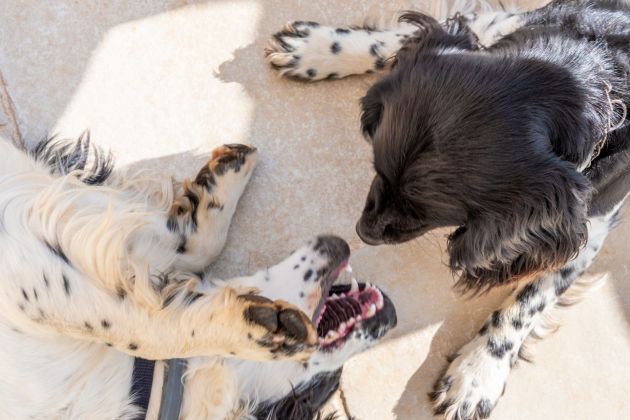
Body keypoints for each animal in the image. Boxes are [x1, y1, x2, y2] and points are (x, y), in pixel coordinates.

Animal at [268, 0, 630, 418]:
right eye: (378, 169)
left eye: (422, 211)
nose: (362, 231)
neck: (591, 69)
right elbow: (417, 34)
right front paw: (321, 48)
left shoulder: (592, 223)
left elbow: (530, 299)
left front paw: (479, 371)